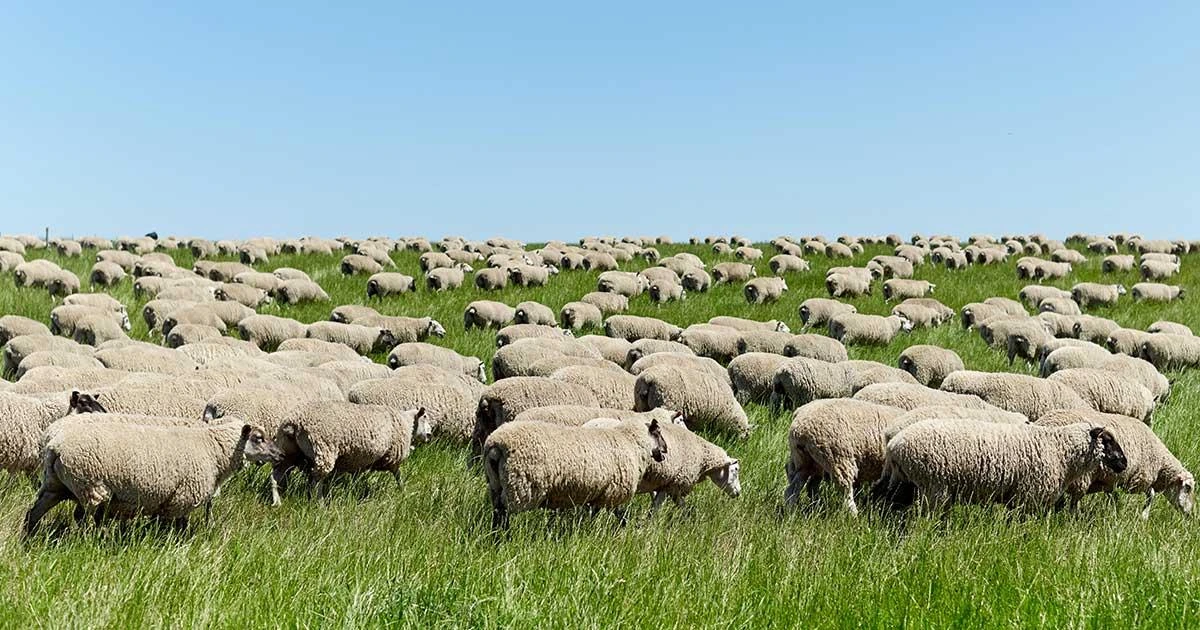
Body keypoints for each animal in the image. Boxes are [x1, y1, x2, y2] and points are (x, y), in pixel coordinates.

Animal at [24, 420, 279, 535]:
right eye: (258, 438)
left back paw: (28, 539)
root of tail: (53, 445)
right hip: (90, 486)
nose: (279, 454)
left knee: (33, 513)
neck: (213, 449)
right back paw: (88, 541)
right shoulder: (181, 498)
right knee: (82, 519)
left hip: (55, 486)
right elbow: (179, 526)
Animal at [269, 403, 429, 504]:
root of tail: (294, 422)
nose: (429, 435)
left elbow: (356, 477)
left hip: (288, 452)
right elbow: (398, 475)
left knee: (276, 475)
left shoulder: (357, 459)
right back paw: (319, 503)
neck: (407, 423)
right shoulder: (393, 456)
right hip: (324, 449)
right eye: (425, 417)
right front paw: (403, 491)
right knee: (316, 481)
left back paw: (277, 501)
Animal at [482, 417, 667, 528]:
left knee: (497, 511)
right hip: (521, 486)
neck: (632, 442)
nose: (665, 451)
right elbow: (611, 514)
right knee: (504, 512)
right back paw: (505, 538)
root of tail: (495, 444)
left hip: (496, 484)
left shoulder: (600, 493)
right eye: (658, 433)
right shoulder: (611, 491)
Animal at [876, 419, 1126, 513]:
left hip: (903, 481)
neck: (1060, 451)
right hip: (933, 486)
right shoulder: (1028, 496)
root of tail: (894, 444)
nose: (1124, 462)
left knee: (885, 501)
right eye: (1108, 440)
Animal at [1036, 409, 1193, 518]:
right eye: (1188, 488)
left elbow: (1114, 497)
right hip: (1080, 477)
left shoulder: (1110, 481)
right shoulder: (1139, 479)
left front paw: (1116, 511)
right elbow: (1152, 494)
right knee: (1073, 501)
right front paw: (1144, 515)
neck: (1161, 465)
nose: (1190, 514)